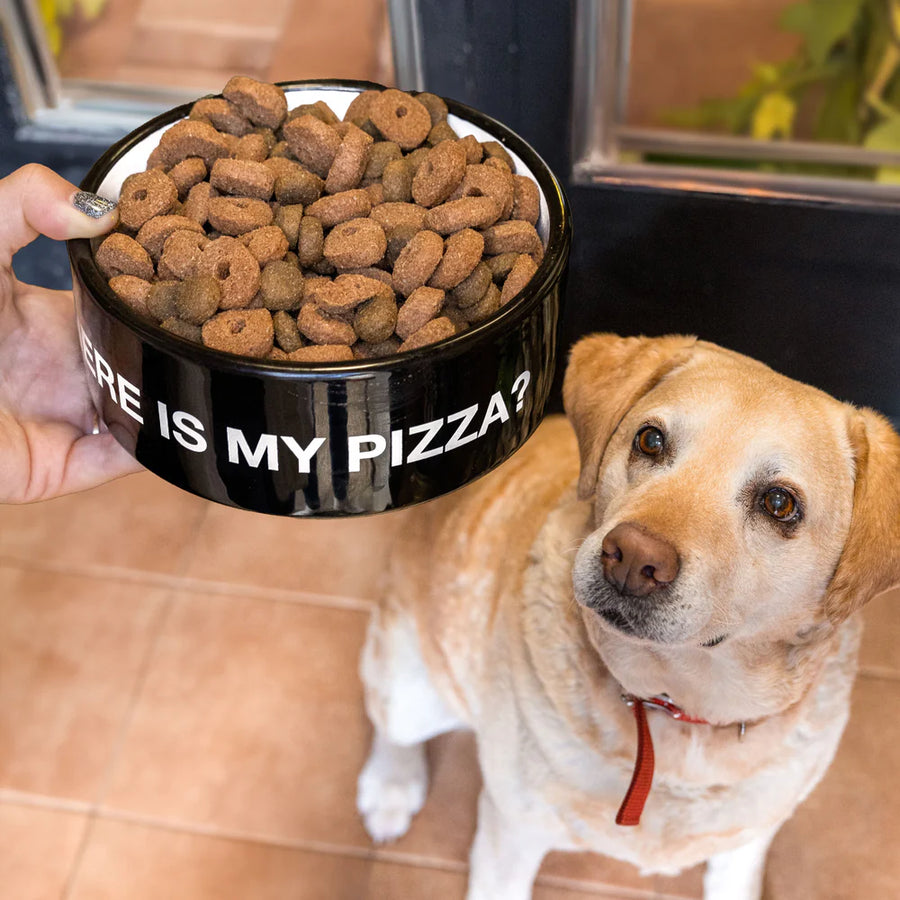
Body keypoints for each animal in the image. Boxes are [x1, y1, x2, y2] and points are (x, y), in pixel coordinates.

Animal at [356, 334, 896, 896]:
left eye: (778, 503)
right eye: (650, 440)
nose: (633, 559)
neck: (674, 706)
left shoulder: (746, 844)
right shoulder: (511, 835)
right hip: (410, 684)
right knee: (388, 725)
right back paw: (390, 789)